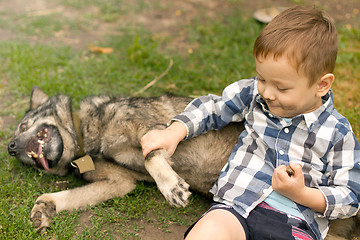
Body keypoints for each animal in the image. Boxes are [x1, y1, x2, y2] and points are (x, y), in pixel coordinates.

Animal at [7, 87, 358, 239]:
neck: (85, 136)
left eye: (23, 126)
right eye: (17, 140)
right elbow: (65, 198)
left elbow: (150, 156)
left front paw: (170, 186)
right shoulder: (119, 183)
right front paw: (45, 207)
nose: (11, 148)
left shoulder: (149, 130)